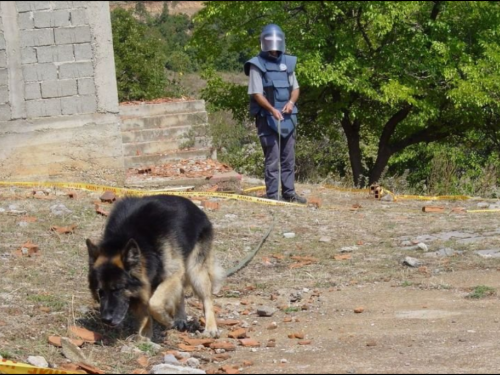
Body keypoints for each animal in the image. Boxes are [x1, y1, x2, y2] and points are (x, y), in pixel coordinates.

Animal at [86, 194, 225, 340]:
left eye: (118, 289)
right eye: (100, 291)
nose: (106, 320)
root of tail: (196, 209)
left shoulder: (171, 275)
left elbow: (153, 303)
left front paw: (165, 320)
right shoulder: (145, 283)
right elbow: (147, 308)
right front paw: (146, 334)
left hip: (195, 272)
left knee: (207, 299)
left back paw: (210, 328)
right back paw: (180, 318)